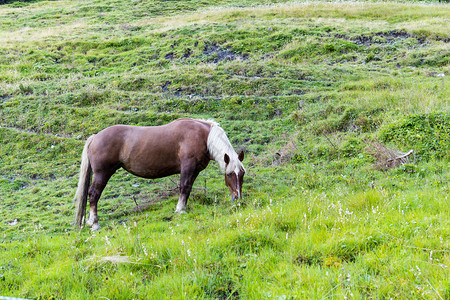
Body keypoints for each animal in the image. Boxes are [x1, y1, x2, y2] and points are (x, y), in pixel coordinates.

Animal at [75, 117, 248, 230]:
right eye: (229, 174)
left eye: (242, 174)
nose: (238, 198)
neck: (203, 136)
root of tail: (95, 137)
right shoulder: (187, 166)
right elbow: (184, 187)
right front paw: (180, 210)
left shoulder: (195, 170)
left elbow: (188, 188)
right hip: (102, 173)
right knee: (94, 194)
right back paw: (94, 223)